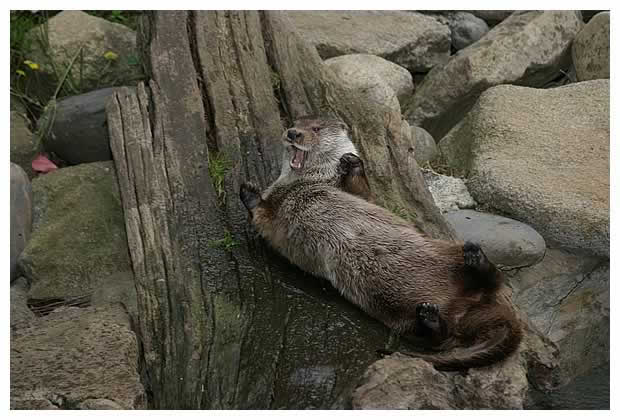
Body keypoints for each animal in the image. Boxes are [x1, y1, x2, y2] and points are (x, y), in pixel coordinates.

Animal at [242, 116, 524, 370]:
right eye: (294, 123)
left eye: (316, 128)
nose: (293, 134)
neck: (305, 182)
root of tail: (472, 305)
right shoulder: (273, 217)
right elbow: (261, 214)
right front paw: (248, 191)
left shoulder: (360, 195)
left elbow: (366, 194)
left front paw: (352, 163)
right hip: (400, 316)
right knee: (440, 338)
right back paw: (431, 317)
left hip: (445, 251)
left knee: (496, 281)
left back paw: (475, 257)